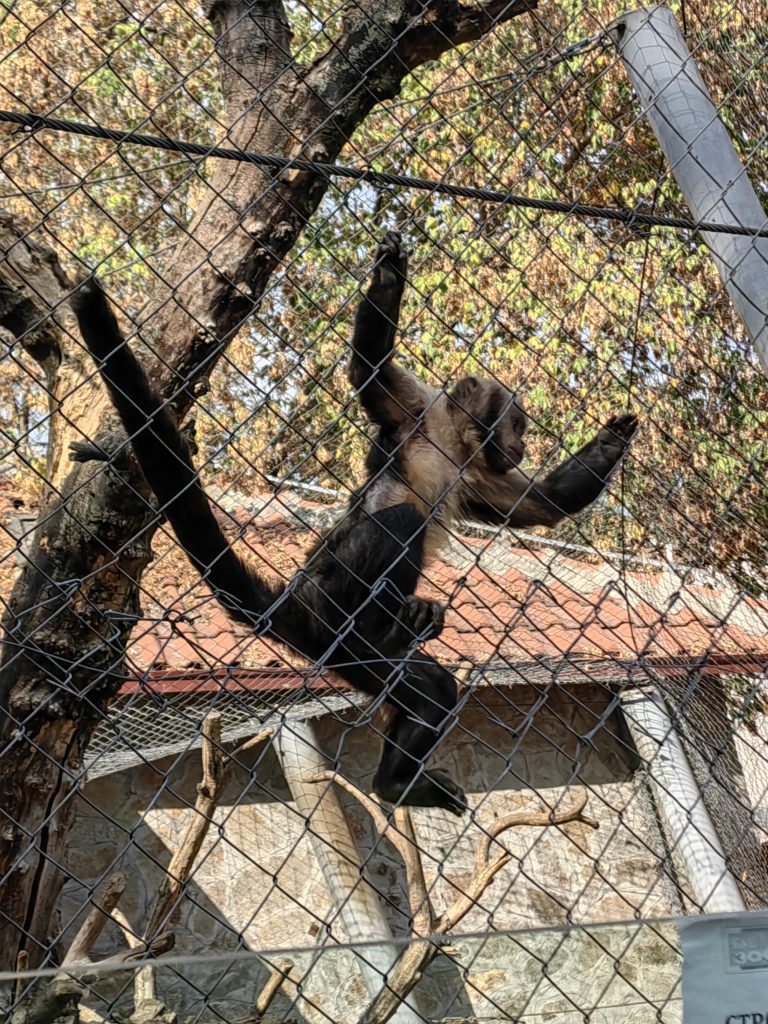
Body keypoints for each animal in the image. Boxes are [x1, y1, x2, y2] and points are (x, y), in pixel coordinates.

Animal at [72, 230, 638, 815]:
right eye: (518, 424)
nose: (522, 443)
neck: (453, 443)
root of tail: (300, 603)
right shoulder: (417, 411)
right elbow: (370, 373)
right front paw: (389, 274)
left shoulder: (480, 470)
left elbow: (542, 506)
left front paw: (613, 441)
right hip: (333, 621)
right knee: (400, 524)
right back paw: (377, 622)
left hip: (356, 659)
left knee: (428, 688)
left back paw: (397, 777)